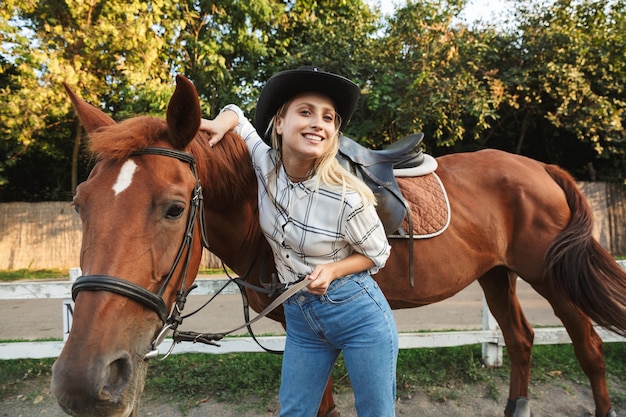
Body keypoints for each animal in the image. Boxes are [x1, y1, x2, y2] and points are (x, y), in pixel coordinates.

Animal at [52, 75, 624, 416]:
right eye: (81, 204)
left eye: (174, 208)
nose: (83, 379)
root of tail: (541, 168)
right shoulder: (302, 332)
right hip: (496, 273)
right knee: (522, 338)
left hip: (550, 276)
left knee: (589, 348)